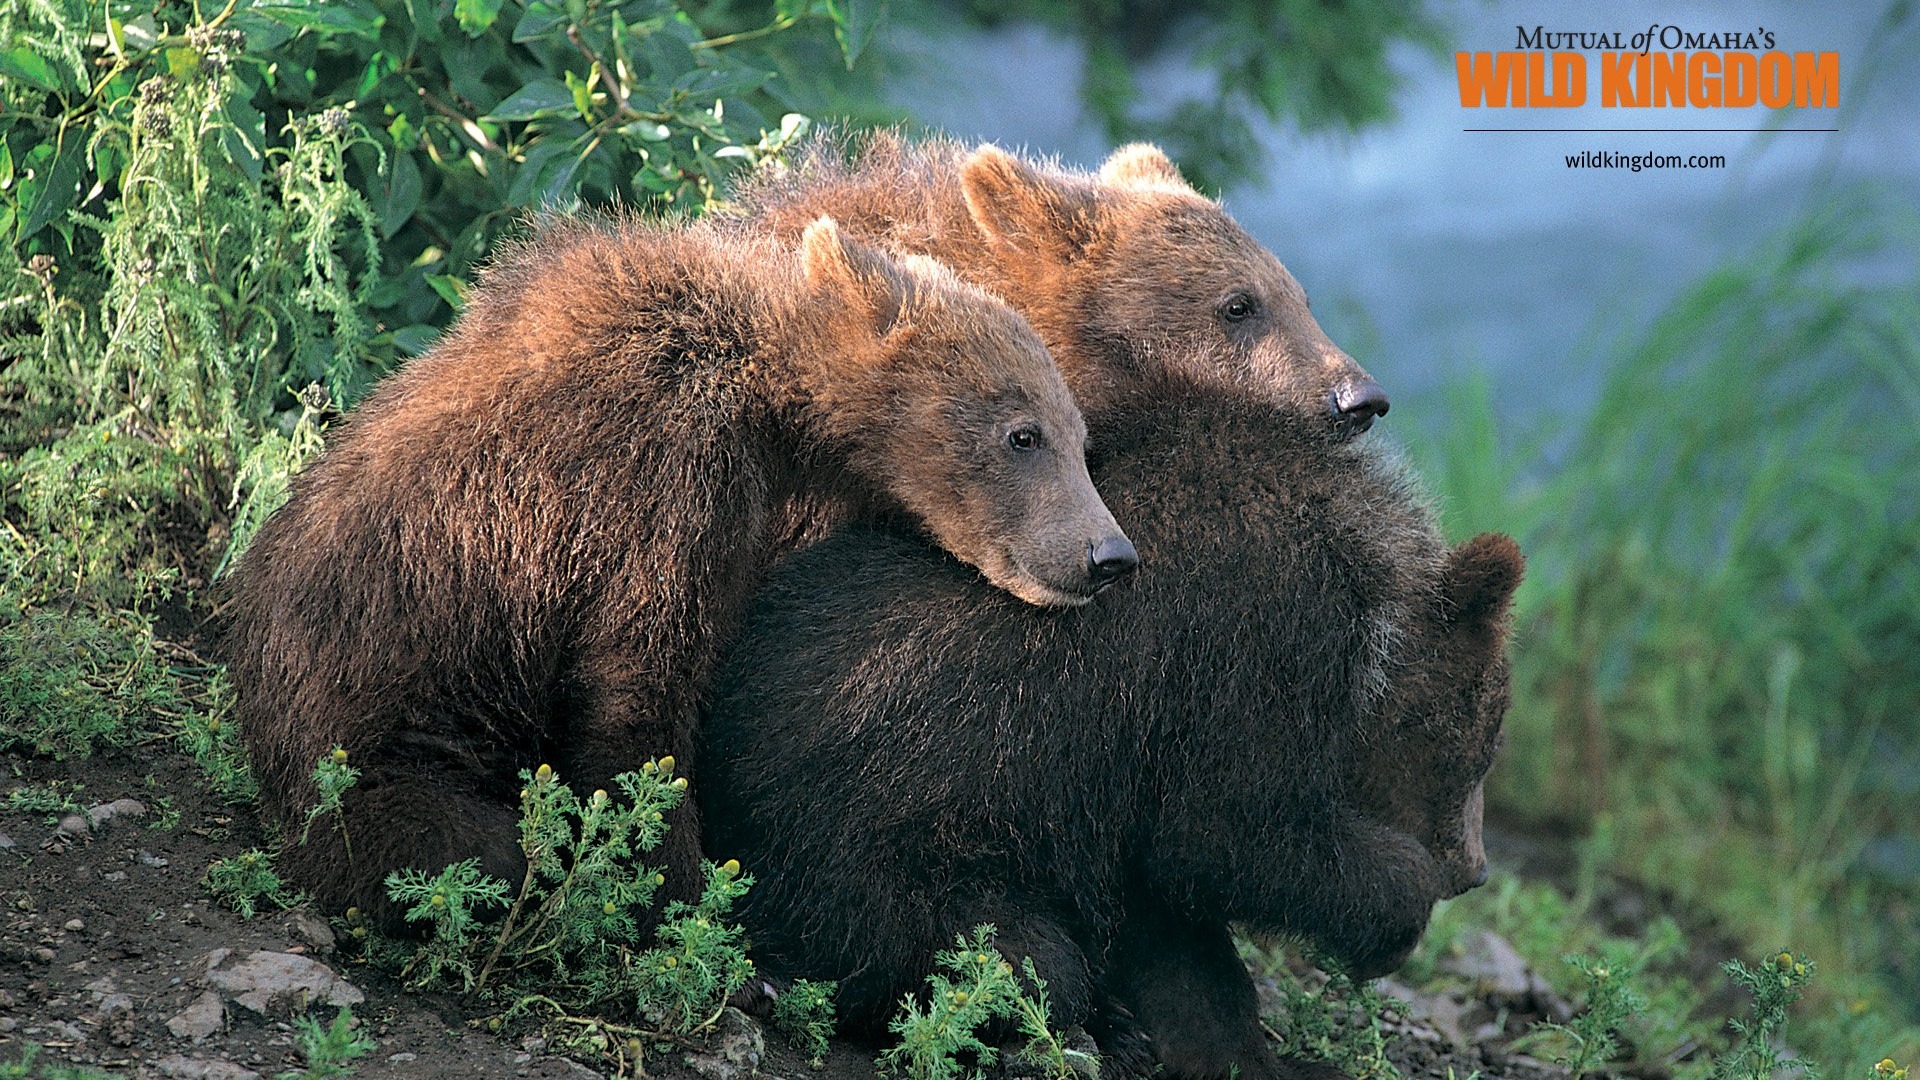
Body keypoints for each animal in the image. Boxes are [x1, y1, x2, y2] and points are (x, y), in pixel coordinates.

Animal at [220, 212, 1136, 926]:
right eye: (1025, 434)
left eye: (1081, 436)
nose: (1109, 556)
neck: (773, 404)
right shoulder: (660, 479)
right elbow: (639, 687)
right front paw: (688, 898)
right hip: (383, 736)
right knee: (456, 845)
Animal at [698, 390, 1520, 1076]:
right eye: (1479, 746)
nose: (1473, 868)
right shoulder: (1257, 646)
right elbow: (1228, 829)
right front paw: (1398, 903)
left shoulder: (1124, 794)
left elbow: (1179, 933)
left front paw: (1217, 1042)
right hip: (873, 856)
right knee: (1011, 956)